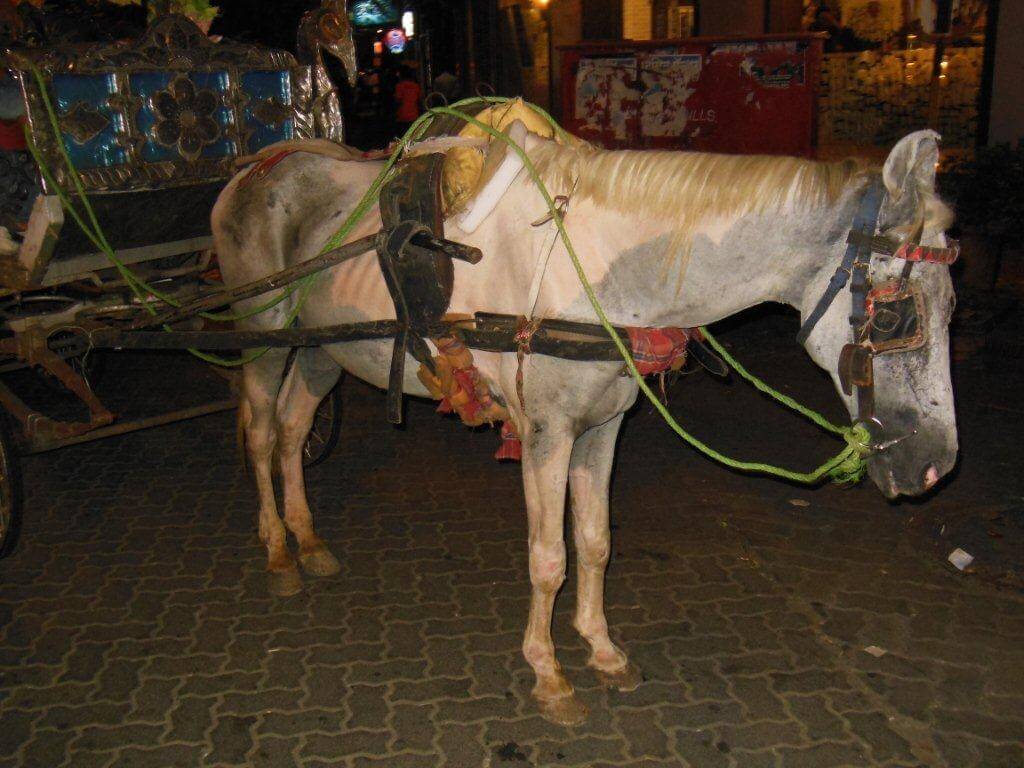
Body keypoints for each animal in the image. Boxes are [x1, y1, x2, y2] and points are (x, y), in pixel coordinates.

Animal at [211, 123, 954, 724]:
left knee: (291, 429)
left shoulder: (604, 427)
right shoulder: (547, 433)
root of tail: (254, 169)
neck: (599, 268)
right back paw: (277, 549)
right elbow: (549, 559)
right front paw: (548, 673)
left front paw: (600, 648)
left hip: (324, 349)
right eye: (898, 316)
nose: (933, 465)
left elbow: (594, 542)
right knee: (259, 430)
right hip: (264, 332)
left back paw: (308, 540)